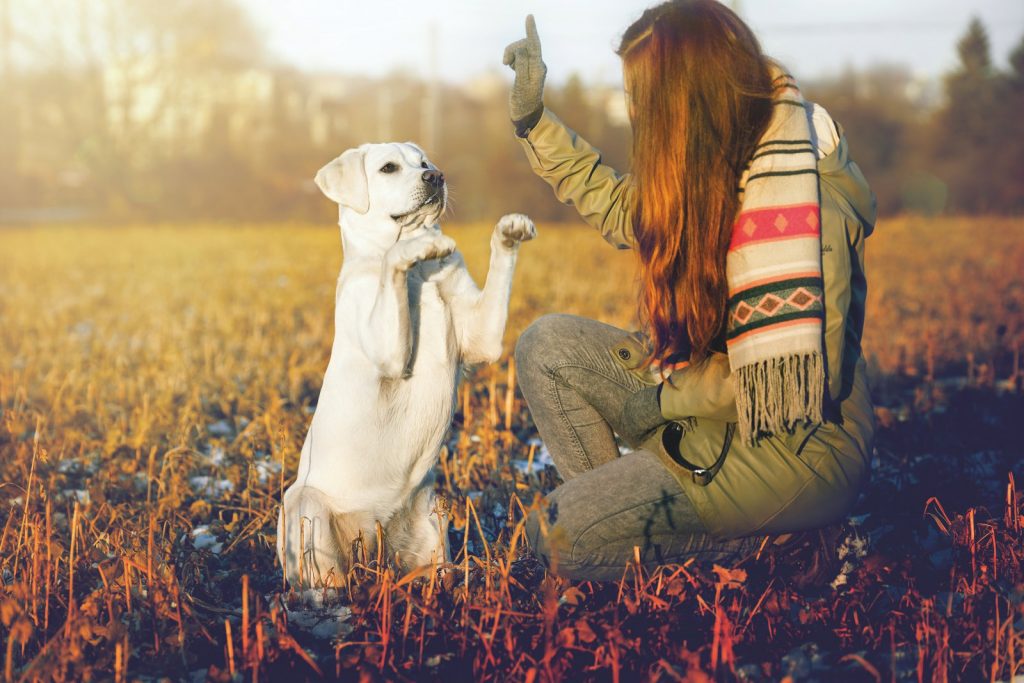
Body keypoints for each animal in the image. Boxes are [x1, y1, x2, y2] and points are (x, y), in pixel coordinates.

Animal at [280, 141, 536, 589]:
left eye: (424, 163)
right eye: (388, 168)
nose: (436, 176)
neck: (421, 277)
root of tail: (375, 539)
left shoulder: (482, 339)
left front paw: (509, 230)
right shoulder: (389, 352)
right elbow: (392, 266)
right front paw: (415, 247)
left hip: (433, 519)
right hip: (304, 506)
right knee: (322, 584)